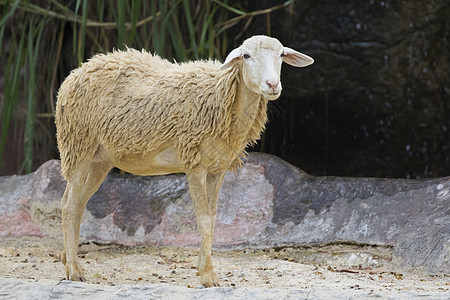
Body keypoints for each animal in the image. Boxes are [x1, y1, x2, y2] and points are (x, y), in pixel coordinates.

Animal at [54, 34, 312, 288]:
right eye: (246, 56)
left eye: (281, 55)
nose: (272, 85)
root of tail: (77, 72)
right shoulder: (195, 164)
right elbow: (204, 219)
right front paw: (208, 276)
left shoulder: (218, 168)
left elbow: (214, 218)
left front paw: (202, 267)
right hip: (78, 145)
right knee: (68, 206)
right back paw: (75, 272)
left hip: (100, 159)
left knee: (76, 203)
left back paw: (68, 259)